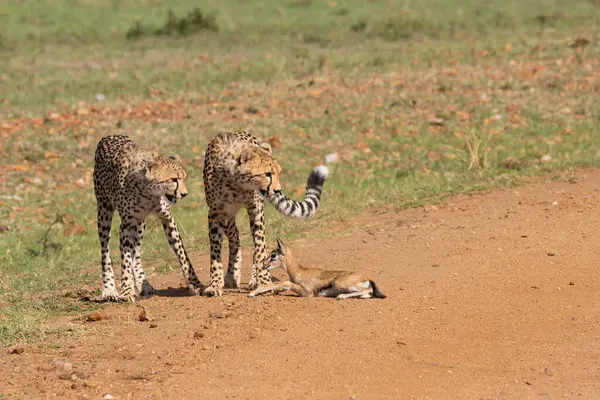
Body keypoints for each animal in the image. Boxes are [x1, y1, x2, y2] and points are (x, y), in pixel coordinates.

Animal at [94, 136, 204, 302]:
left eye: (184, 178)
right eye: (173, 179)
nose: (184, 194)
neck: (148, 194)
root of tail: (109, 136)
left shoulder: (167, 219)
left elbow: (183, 255)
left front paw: (196, 284)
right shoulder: (126, 225)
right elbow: (125, 260)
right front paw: (126, 291)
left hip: (140, 224)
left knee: (137, 251)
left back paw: (143, 284)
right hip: (104, 211)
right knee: (105, 250)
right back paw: (109, 290)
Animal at [204, 131, 330, 296]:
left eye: (278, 173)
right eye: (267, 174)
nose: (277, 190)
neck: (234, 183)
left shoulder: (255, 209)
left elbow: (259, 249)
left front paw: (263, 281)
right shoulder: (216, 213)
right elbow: (215, 253)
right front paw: (215, 284)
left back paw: (253, 279)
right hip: (228, 218)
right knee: (235, 237)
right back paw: (232, 276)